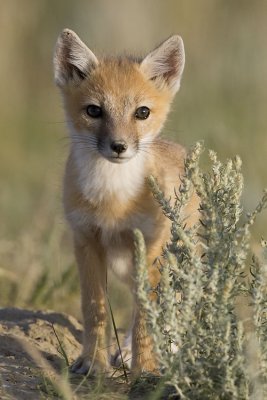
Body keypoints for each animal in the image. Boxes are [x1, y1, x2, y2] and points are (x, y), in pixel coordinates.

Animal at [53, 28, 199, 376]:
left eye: (141, 112)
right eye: (94, 111)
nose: (119, 146)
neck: (112, 199)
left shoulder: (149, 246)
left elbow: (146, 317)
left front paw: (145, 369)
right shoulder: (86, 240)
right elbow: (95, 310)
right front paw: (92, 362)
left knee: (169, 309)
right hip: (125, 266)